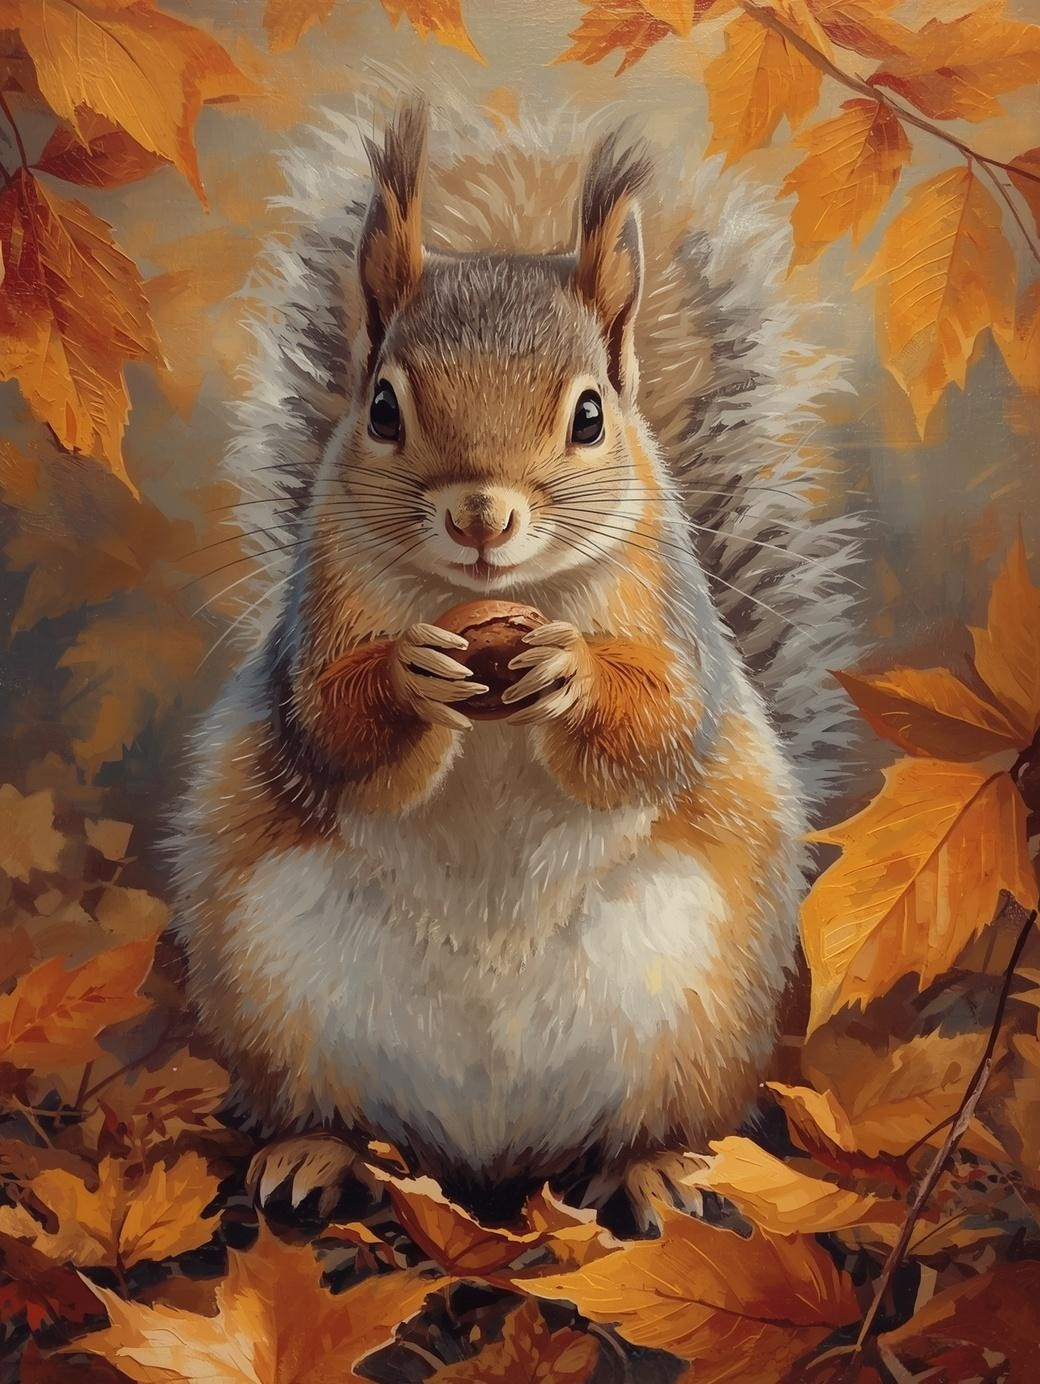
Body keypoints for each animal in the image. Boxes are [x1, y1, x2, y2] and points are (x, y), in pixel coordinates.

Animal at [170, 98, 861, 1238]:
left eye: (589, 415)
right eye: (382, 407)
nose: (481, 515)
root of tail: (489, 1153)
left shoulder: (675, 626)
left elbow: (659, 730)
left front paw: (572, 673)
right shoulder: (314, 625)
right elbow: (329, 731)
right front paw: (406, 676)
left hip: (695, 1017)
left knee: (651, 1122)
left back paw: (654, 1172)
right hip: (274, 994)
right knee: (333, 1110)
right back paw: (316, 1153)